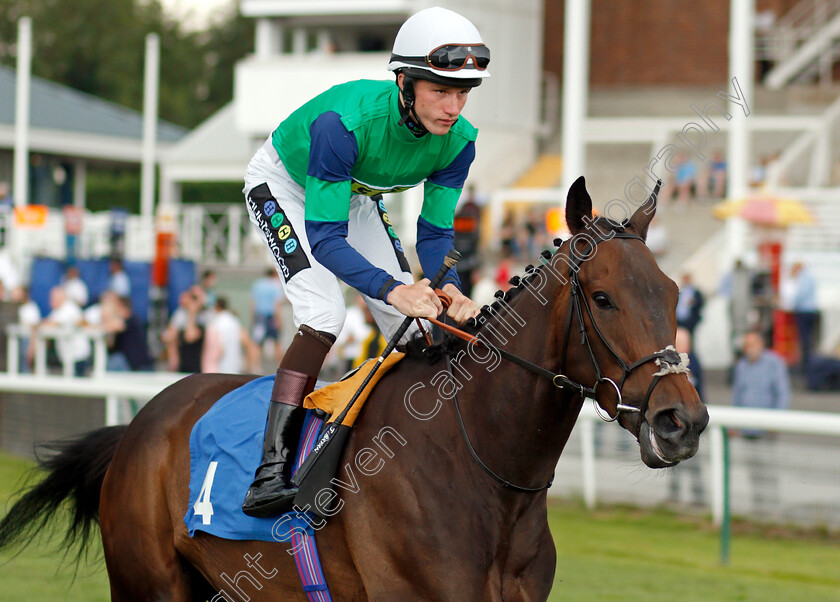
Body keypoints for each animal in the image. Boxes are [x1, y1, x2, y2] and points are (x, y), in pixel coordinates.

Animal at [0, 176, 708, 596]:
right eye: (604, 297)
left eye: (674, 293)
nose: (683, 421)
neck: (480, 464)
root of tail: (140, 424)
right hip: (148, 585)